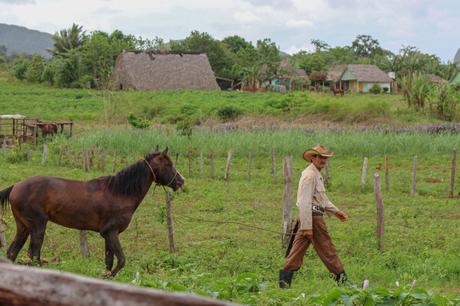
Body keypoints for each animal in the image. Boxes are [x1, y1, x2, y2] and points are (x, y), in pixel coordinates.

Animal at [0, 148, 183, 278]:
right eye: (169, 164)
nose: (181, 181)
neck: (120, 193)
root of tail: (16, 186)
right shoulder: (110, 232)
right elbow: (121, 261)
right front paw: (107, 276)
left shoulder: (109, 236)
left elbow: (109, 261)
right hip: (38, 226)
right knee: (34, 255)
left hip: (23, 227)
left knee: (12, 253)